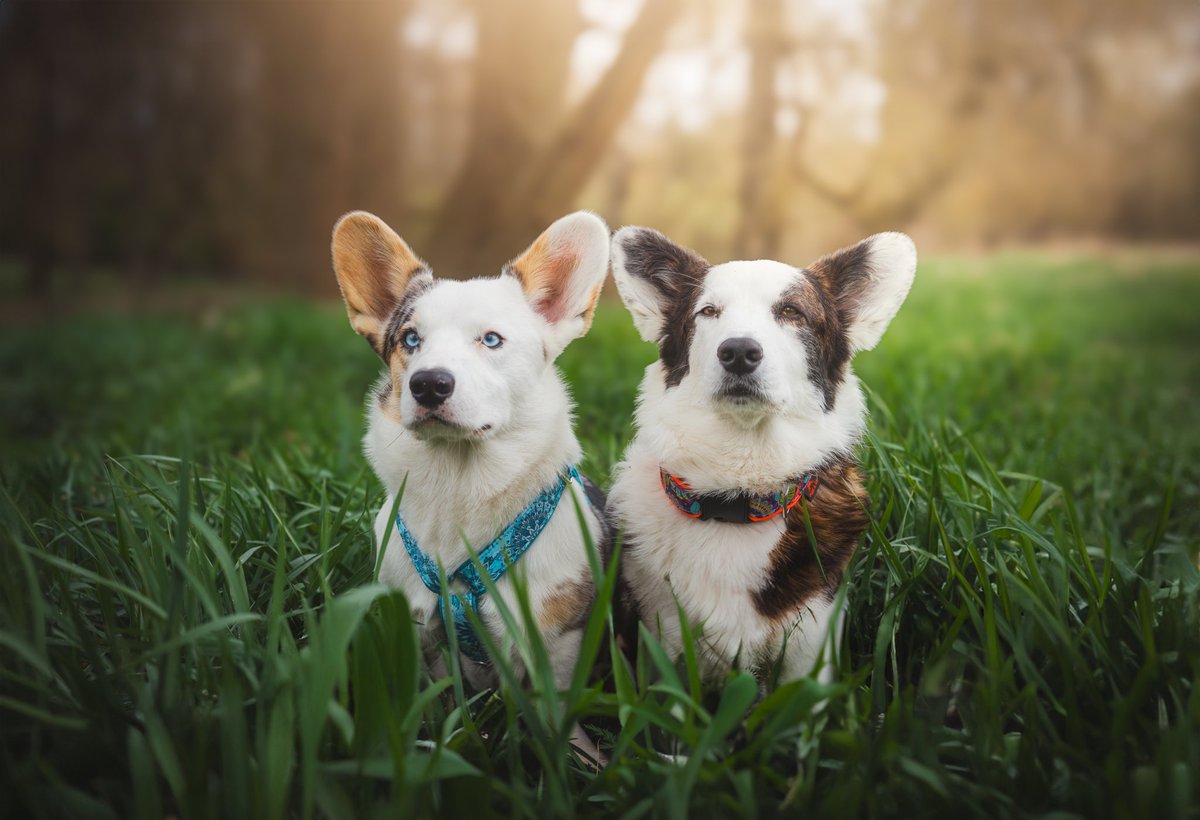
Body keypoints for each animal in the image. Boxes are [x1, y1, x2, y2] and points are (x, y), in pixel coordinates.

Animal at [328, 208, 609, 710]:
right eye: (410, 339)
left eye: (491, 340)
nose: (428, 385)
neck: (458, 480)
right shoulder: (418, 634)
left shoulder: (557, 642)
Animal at [609, 224, 916, 686]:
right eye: (708, 312)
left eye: (791, 312)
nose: (738, 352)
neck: (739, 494)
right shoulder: (661, 639)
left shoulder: (812, 644)